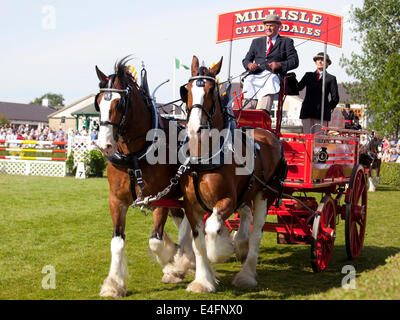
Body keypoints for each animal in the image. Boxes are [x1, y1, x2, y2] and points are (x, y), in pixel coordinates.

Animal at [94, 58, 194, 298]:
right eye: (98, 102)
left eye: (120, 104)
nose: (104, 145)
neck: (135, 157)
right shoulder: (116, 201)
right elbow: (117, 242)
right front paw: (114, 284)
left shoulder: (161, 199)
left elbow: (155, 241)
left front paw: (171, 263)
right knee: (183, 220)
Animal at [179, 55, 288, 292]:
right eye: (187, 89)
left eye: (211, 90)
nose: (194, 127)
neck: (204, 159)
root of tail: (270, 134)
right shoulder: (191, 206)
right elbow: (198, 243)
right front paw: (203, 281)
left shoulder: (227, 201)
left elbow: (212, 228)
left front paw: (219, 252)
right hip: (247, 191)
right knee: (246, 214)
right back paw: (241, 243)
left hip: (265, 194)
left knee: (257, 233)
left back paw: (246, 273)